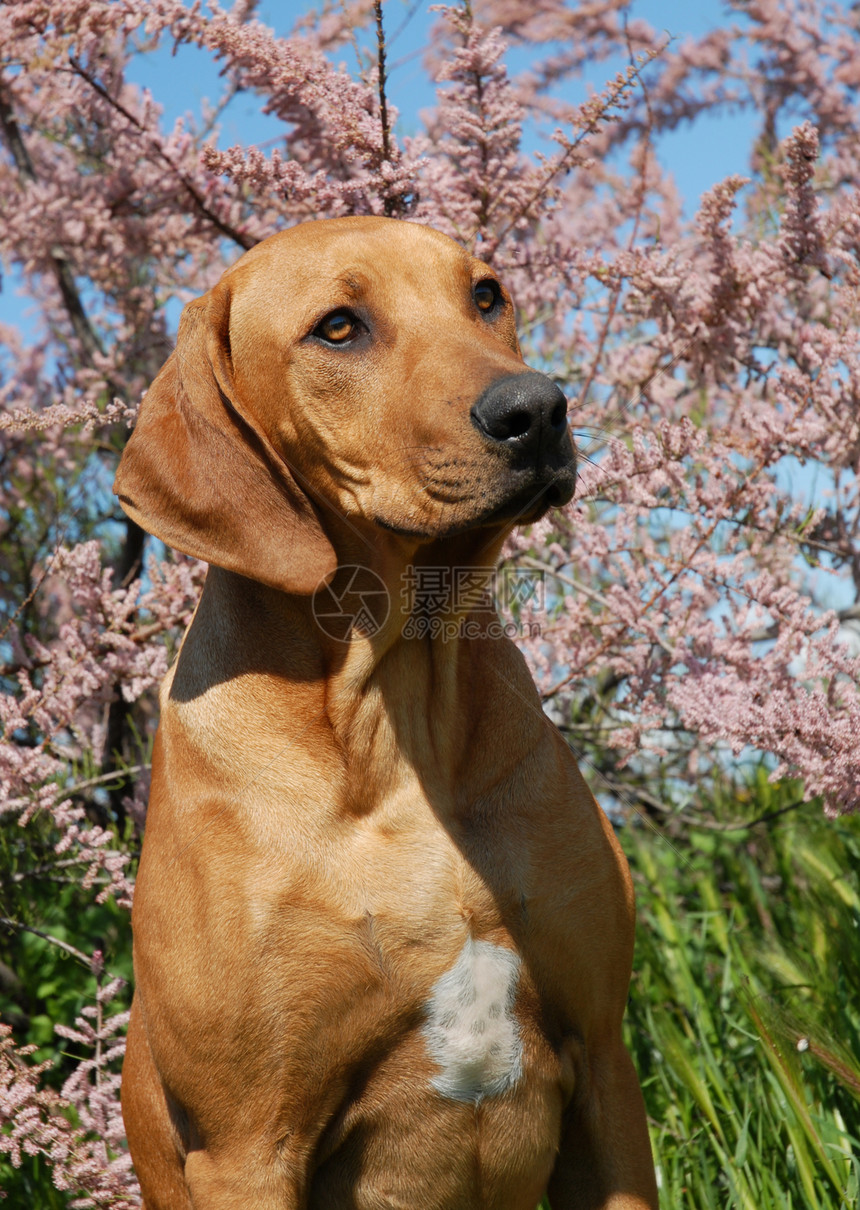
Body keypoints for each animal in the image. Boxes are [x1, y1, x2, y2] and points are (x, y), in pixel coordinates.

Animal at [112, 220, 653, 1210]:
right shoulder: (247, 1145)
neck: (400, 728)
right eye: (338, 327)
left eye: (487, 294)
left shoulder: (603, 1063)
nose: (538, 408)